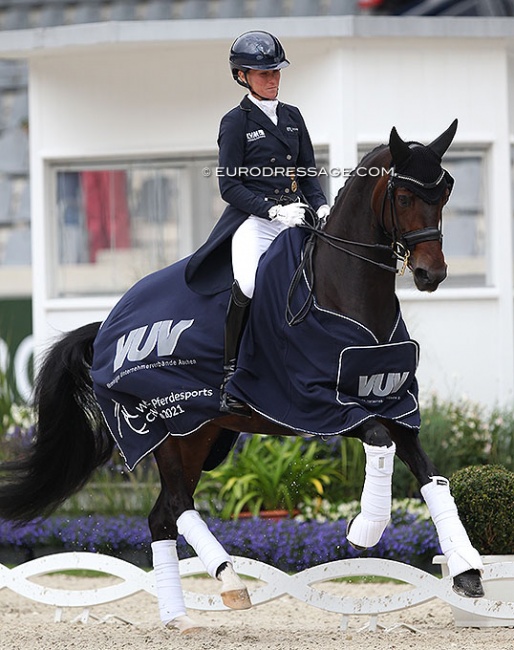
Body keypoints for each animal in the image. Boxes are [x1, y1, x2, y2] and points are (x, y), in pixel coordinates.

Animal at [0, 119, 482, 632]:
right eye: (405, 196)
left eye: (445, 192)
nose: (432, 273)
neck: (344, 292)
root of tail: (107, 323)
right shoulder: (320, 406)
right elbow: (378, 441)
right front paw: (366, 529)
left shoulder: (394, 404)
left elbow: (431, 478)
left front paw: (468, 570)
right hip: (161, 430)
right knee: (177, 505)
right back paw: (230, 582)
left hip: (199, 435)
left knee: (161, 516)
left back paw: (180, 618)